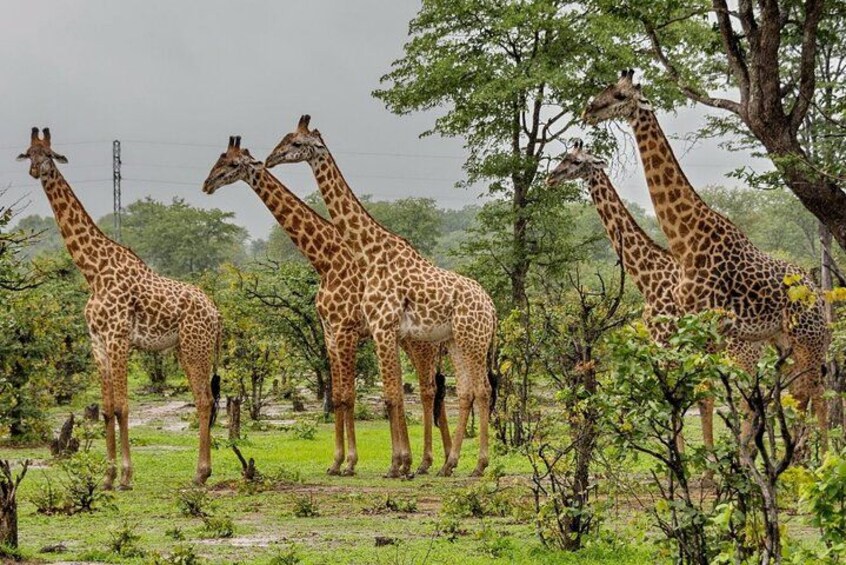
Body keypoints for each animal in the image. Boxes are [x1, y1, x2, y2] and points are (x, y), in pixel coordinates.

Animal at [17, 128, 222, 489]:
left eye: (50, 154)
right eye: (29, 153)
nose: (35, 170)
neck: (93, 271)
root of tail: (215, 312)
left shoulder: (118, 337)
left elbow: (123, 407)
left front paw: (125, 476)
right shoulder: (98, 342)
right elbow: (107, 407)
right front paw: (108, 476)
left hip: (196, 346)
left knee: (204, 400)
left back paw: (200, 473)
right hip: (184, 348)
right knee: (204, 400)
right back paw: (201, 472)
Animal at [201, 136, 451, 475]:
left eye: (231, 163)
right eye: (219, 159)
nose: (207, 183)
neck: (326, 259)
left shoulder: (346, 330)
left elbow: (350, 396)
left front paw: (351, 462)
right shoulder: (330, 331)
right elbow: (341, 397)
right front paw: (340, 462)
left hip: (420, 343)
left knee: (427, 390)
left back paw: (431, 461)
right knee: (430, 390)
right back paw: (441, 461)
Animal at [266, 116, 498, 478]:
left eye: (296, 143)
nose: (270, 158)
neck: (370, 251)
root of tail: (492, 306)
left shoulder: (374, 328)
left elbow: (387, 395)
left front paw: (392, 465)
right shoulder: (369, 330)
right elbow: (380, 394)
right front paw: (394, 463)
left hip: (469, 340)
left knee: (475, 390)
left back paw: (471, 464)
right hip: (457, 341)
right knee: (465, 391)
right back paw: (450, 463)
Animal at [583, 71, 831, 447]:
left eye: (619, 95)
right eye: (606, 90)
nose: (588, 110)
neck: (687, 239)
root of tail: (817, 293)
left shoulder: (706, 323)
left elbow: (705, 392)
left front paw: (711, 460)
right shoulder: (691, 327)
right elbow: (700, 392)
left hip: (807, 337)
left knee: (814, 390)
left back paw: (819, 455)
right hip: (781, 340)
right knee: (799, 391)